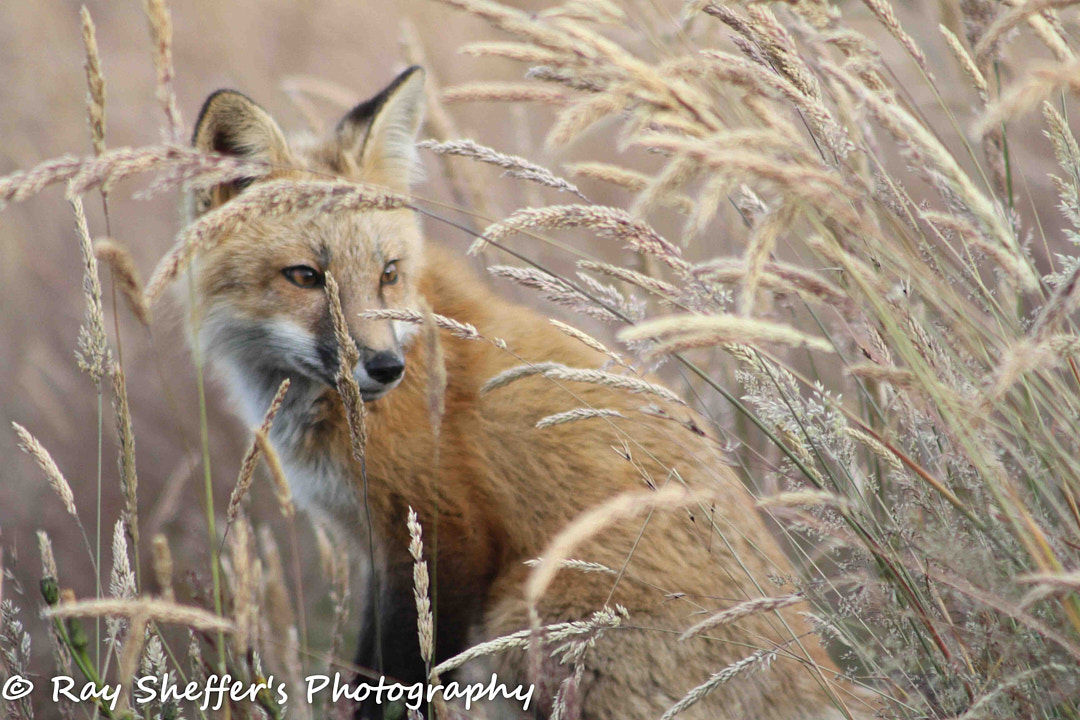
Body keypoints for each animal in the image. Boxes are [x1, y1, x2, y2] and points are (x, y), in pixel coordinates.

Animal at [184, 66, 869, 719]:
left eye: (388, 274)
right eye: (305, 276)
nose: (384, 368)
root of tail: (822, 673)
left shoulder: (443, 535)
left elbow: (396, 685)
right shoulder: (379, 555)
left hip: (522, 617)